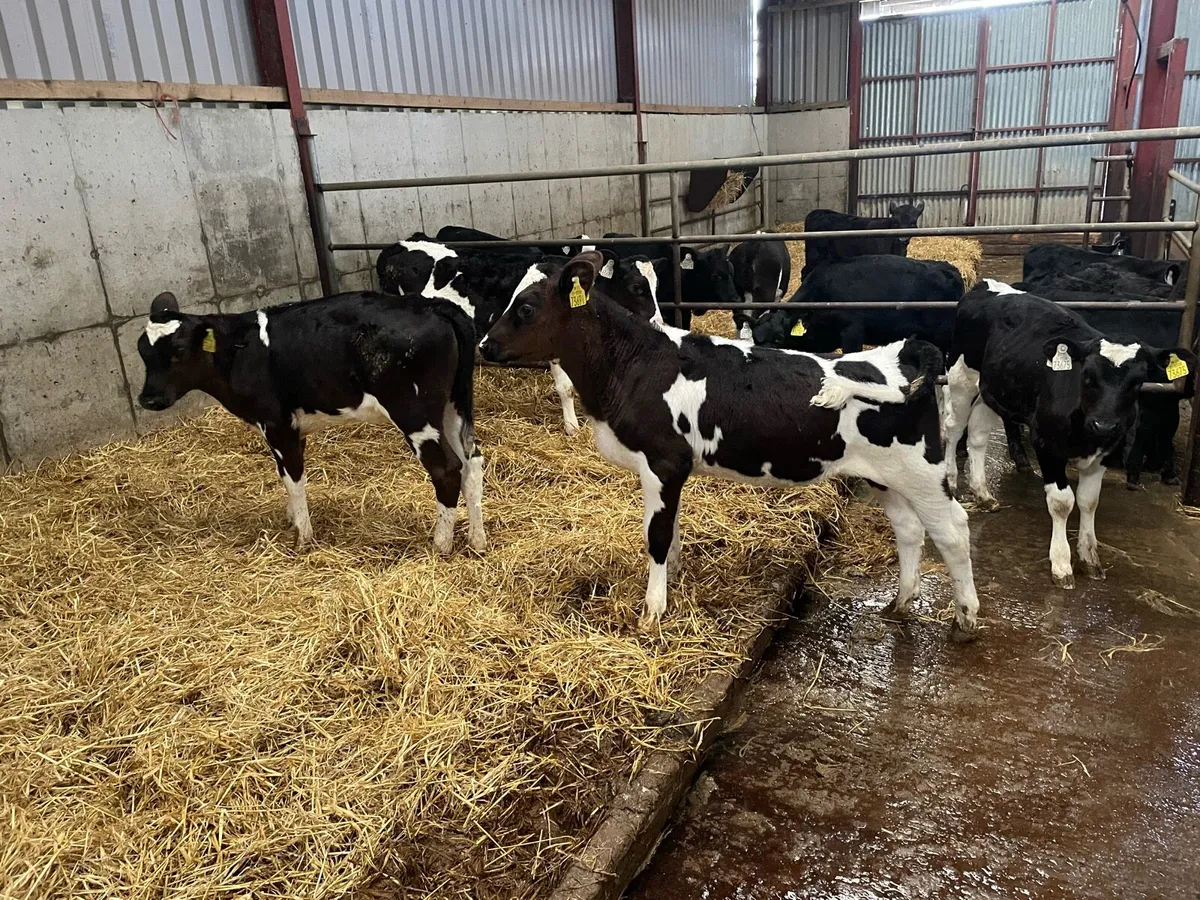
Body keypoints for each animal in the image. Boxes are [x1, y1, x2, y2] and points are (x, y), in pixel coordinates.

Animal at [136, 290, 486, 555]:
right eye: (142, 352)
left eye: (179, 351)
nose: (147, 399)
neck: (240, 352)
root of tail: (432, 305)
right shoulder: (292, 427)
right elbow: (284, 476)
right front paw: (293, 522)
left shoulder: (276, 423)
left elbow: (294, 479)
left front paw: (303, 538)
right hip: (452, 408)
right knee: (472, 462)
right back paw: (477, 540)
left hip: (414, 413)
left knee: (447, 469)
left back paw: (440, 545)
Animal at [942, 281, 1194, 588]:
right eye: (1087, 376)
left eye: (1137, 382)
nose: (1104, 425)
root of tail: (986, 285)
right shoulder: (1047, 446)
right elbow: (1062, 503)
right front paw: (1062, 564)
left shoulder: (1106, 452)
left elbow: (1089, 501)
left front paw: (1089, 557)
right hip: (961, 377)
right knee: (953, 428)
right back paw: (950, 480)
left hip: (991, 389)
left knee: (977, 436)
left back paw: (982, 493)